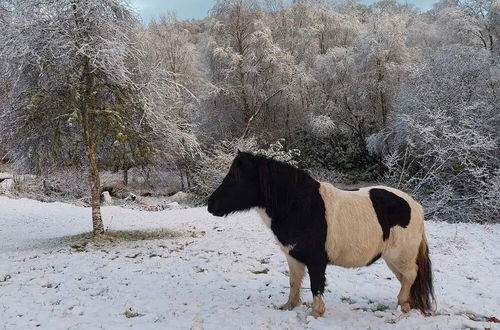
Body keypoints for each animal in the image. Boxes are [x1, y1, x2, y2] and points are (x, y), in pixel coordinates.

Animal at [207, 151, 434, 318]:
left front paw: (316, 314)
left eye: (234, 178)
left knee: (411, 274)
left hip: (400, 256)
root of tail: (415, 205)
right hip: (393, 259)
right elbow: (294, 282)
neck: (299, 207)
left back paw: (403, 303)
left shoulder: (316, 261)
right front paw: (290, 306)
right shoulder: (294, 257)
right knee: (406, 278)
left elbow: (316, 285)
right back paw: (406, 305)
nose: (211, 205)